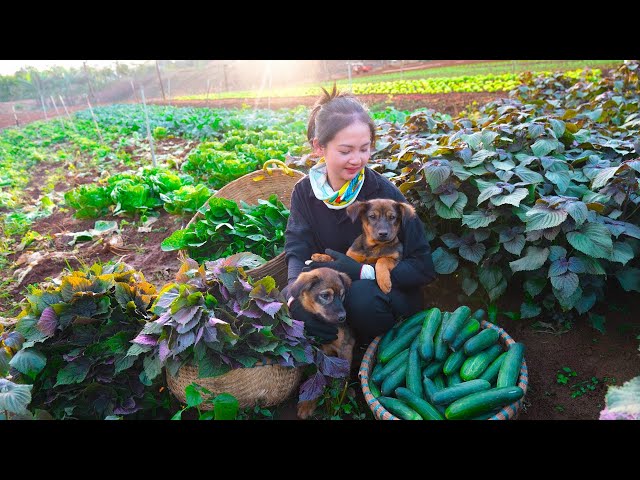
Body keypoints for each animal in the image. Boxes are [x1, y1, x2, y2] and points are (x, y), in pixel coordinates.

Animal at [290, 266, 356, 420]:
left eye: (342, 295)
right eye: (325, 296)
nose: (343, 317)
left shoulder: (346, 347)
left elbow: (342, 377)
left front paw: (337, 402)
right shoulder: (314, 351)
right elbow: (315, 379)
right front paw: (308, 404)